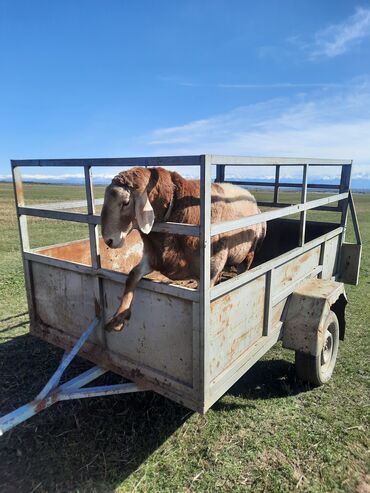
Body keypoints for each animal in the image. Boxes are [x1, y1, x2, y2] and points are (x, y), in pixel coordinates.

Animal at [101, 165, 266, 330]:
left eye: (126, 202)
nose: (108, 240)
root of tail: (250, 196)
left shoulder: (209, 272)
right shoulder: (154, 258)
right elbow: (132, 275)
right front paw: (119, 317)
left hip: (249, 252)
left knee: (243, 270)